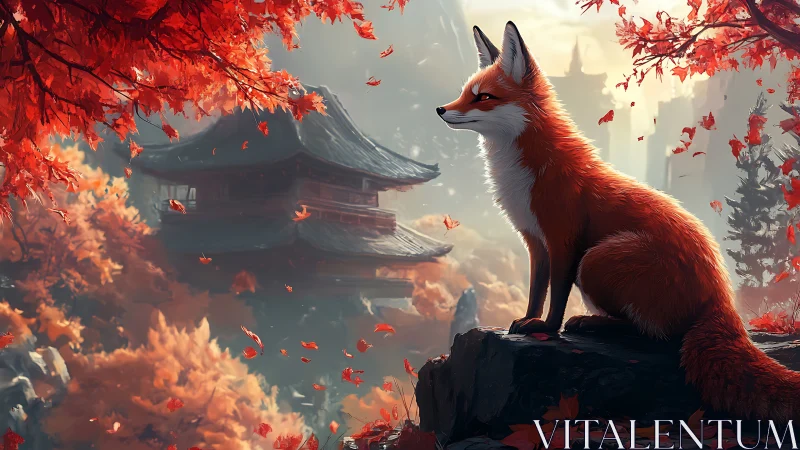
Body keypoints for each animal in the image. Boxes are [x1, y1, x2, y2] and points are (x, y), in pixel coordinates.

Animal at [436, 21, 800, 421]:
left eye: (484, 97)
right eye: (464, 93)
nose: (440, 109)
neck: (527, 171)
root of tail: (721, 292)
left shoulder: (564, 239)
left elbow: (557, 295)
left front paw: (546, 327)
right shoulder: (534, 240)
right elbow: (536, 290)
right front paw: (524, 322)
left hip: (596, 259)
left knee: (654, 336)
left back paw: (592, 324)